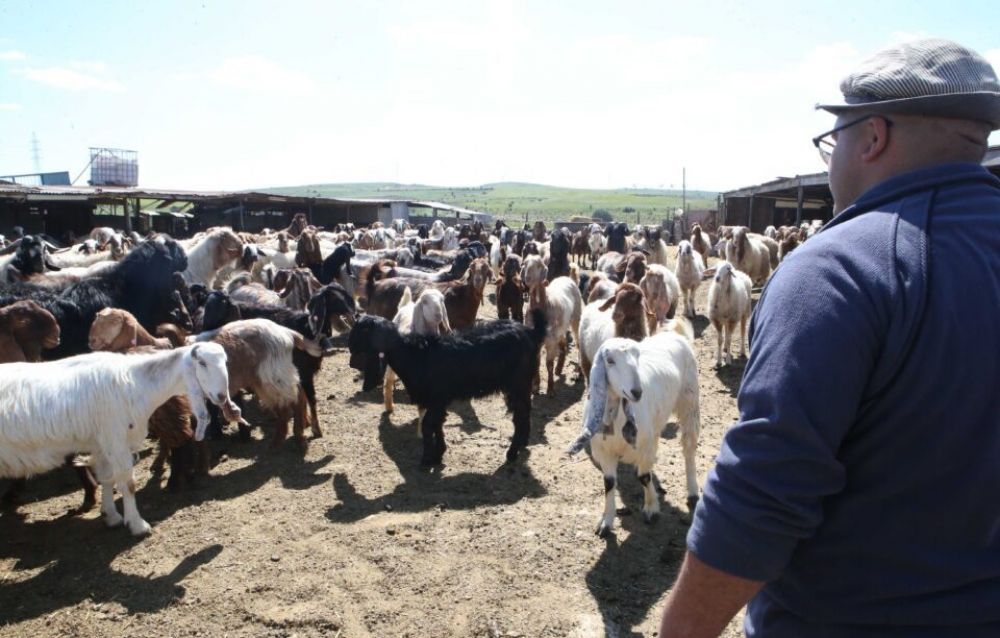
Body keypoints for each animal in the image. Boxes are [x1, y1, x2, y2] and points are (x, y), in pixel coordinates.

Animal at [0, 344, 241, 536]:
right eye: (202, 363)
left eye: (226, 361)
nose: (221, 397)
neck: (134, 383)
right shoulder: (114, 439)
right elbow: (128, 483)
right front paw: (137, 524)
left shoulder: (102, 442)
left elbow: (107, 478)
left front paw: (111, 516)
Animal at [346, 308, 548, 464]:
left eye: (361, 331)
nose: (349, 346)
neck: (413, 354)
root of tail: (532, 333)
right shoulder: (437, 400)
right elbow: (437, 424)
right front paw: (439, 454)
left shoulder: (436, 397)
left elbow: (428, 425)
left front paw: (426, 460)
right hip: (522, 384)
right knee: (525, 412)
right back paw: (523, 444)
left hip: (517, 383)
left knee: (519, 417)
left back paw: (512, 453)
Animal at [568, 330, 700, 536]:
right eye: (610, 361)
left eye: (637, 357)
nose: (637, 392)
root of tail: (672, 333)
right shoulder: (604, 451)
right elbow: (609, 483)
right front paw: (606, 521)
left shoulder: (643, 447)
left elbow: (643, 477)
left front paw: (651, 508)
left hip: (690, 401)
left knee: (689, 448)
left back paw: (693, 491)